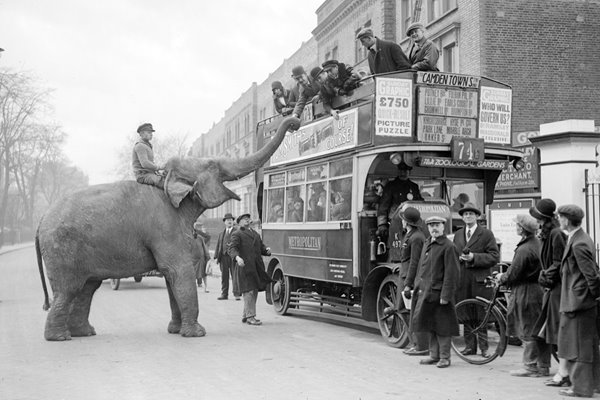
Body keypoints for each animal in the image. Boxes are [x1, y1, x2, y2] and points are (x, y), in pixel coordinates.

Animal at [36, 115, 298, 340]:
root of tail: (41, 220)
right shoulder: (164, 226)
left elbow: (173, 276)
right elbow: (178, 270)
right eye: (212, 165)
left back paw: (84, 333)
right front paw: (196, 333)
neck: (167, 182)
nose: (295, 121)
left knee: (87, 288)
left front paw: (176, 330)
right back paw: (60, 337)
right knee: (69, 289)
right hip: (63, 250)